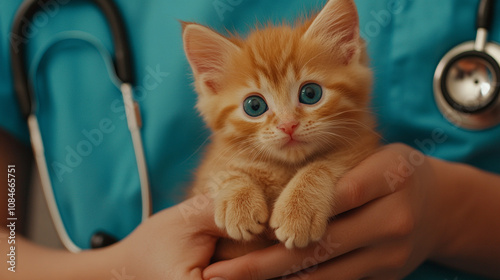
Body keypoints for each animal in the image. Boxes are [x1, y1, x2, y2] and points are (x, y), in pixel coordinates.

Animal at [182, 0, 376, 258]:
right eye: (254, 106)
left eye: (310, 93)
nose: (288, 125)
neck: (284, 167)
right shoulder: (205, 176)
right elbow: (224, 170)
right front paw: (238, 201)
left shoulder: (364, 145)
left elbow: (324, 164)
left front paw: (298, 209)